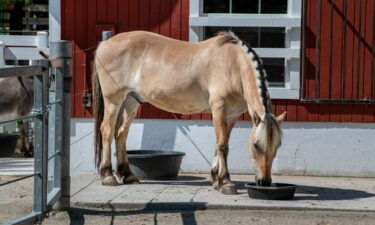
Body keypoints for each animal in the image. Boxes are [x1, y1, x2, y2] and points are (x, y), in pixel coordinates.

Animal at [92, 30, 286, 194]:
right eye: (256, 145)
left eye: (277, 145)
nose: (265, 182)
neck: (234, 64)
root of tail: (104, 44)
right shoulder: (219, 109)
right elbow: (222, 146)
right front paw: (226, 182)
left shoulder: (231, 115)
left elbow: (220, 144)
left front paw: (215, 178)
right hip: (113, 100)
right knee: (107, 130)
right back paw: (108, 176)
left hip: (131, 101)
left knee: (121, 134)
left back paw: (127, 175)